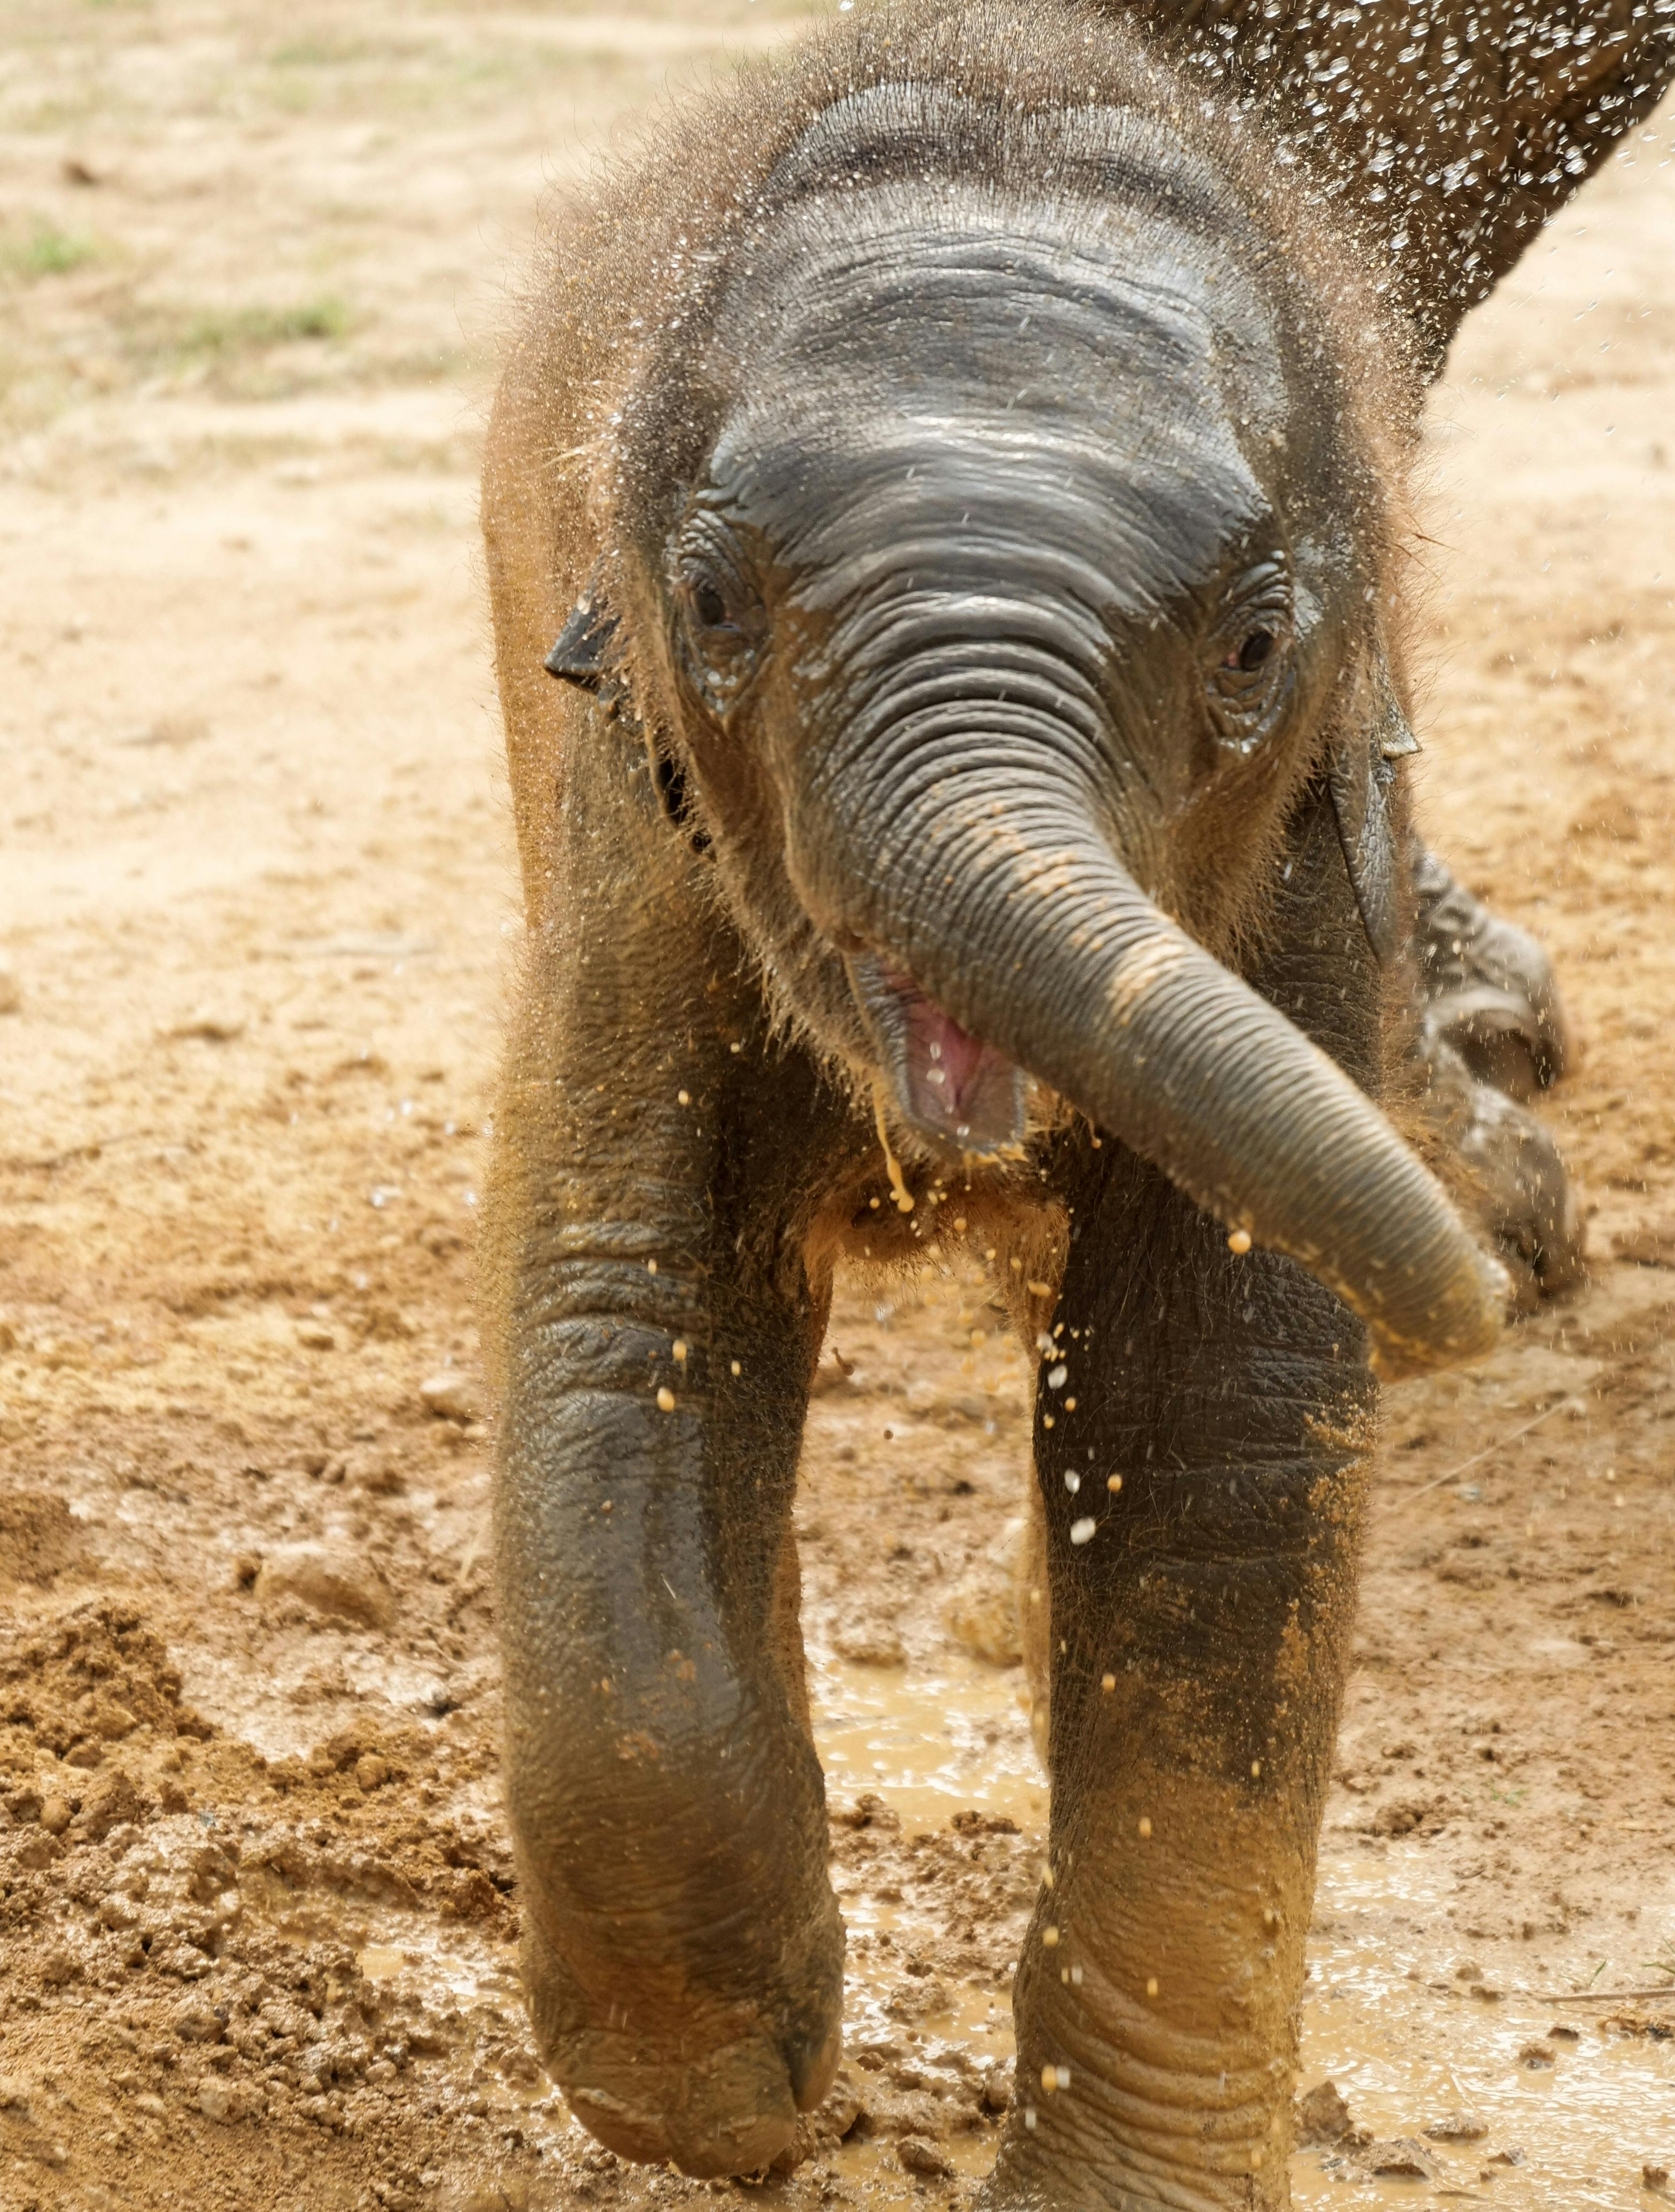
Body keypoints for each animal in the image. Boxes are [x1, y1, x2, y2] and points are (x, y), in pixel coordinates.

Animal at [478, 1, 1672, 2201]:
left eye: (1256, 643)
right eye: (711, 608)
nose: (1489, 1279)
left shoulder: (1302, 861)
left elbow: (1217, 1411)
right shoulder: (629, 827)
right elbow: (627, 1302)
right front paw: (729, 2097)